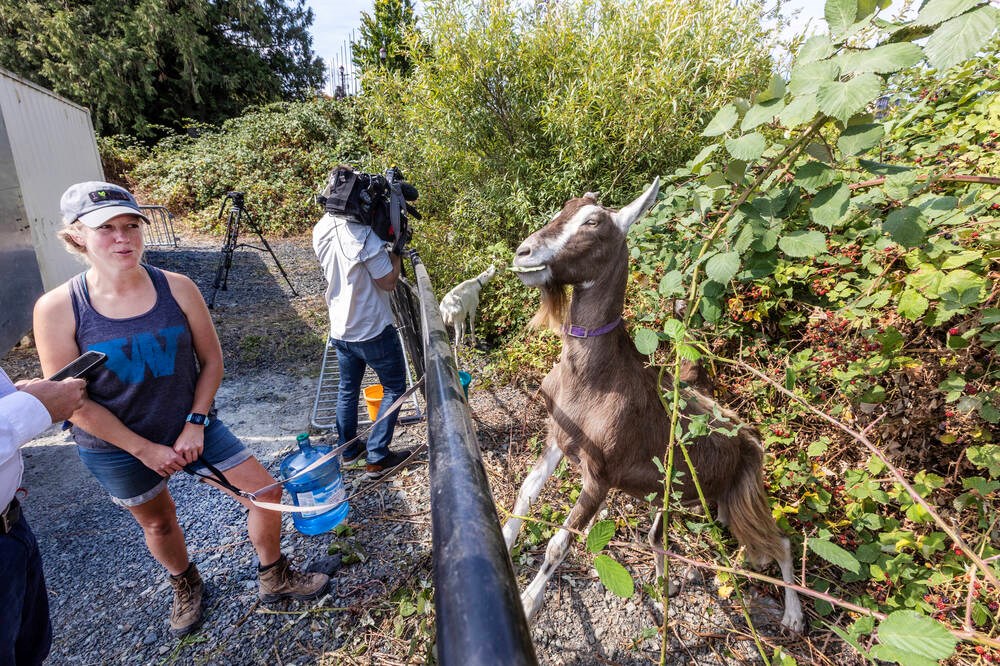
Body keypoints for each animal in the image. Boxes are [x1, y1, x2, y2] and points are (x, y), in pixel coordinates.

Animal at [503, 178, 804, 633]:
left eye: (593, 222)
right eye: (562, 210)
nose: (524, 253)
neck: (592, 378)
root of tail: (748, 437)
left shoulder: (601, 474)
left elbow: (559, 543)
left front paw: (528, 603)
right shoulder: (558, 440)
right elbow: (524, 495)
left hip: (742, 494)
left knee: (781, 541)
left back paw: (793, 616)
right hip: (679, 494)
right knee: (658, 536)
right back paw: (667, 587)